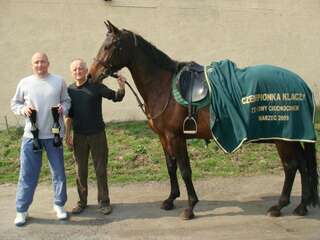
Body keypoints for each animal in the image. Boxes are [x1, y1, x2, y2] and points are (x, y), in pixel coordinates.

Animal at [87, 20, 318, 219]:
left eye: (109, 46)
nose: (91, 75)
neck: (163, 86)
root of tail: (300, 83)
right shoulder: (163, 137)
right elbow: (171, 166)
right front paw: (170, 199)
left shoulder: (177, 137)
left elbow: (185, 170)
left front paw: (190, 207)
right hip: (292, 138)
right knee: (303, 166)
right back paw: (301, 206)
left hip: (282, 139)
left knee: (291, 167)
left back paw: (280, 206)